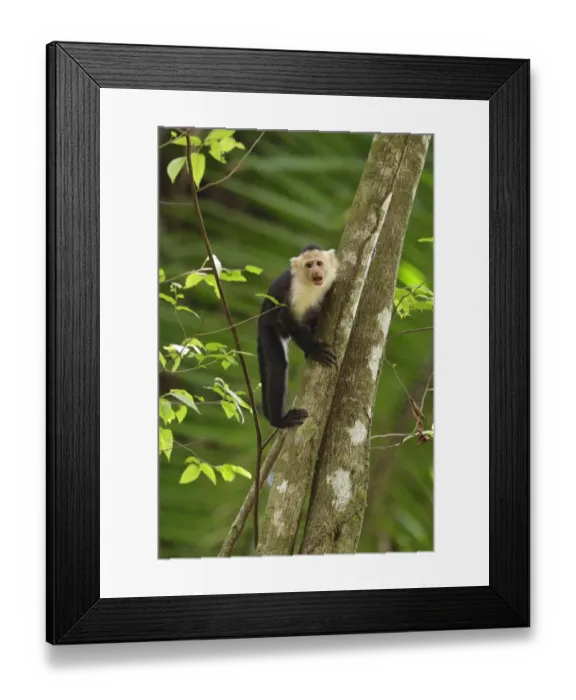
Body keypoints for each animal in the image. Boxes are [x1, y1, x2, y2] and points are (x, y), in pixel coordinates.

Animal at [257, 244, 339, 429]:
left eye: (319, 263)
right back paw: (278, 420)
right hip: (267, 329)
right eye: (309, 265)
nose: (316, 271)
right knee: (278, 365)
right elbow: (286, 316)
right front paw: (314, 349)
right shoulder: (295, 289)